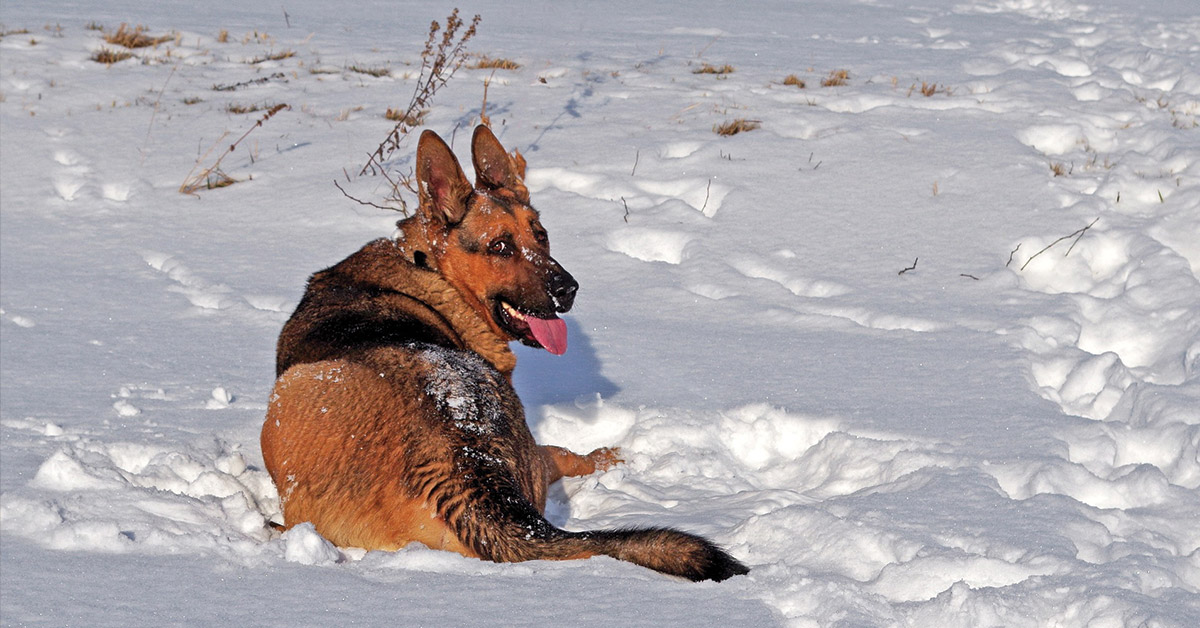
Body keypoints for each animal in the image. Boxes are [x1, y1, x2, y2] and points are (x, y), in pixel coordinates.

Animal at [264, 125, 748, 583]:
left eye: (542, 235)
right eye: (500, 246)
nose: (568, 290)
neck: (431, 270)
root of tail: (465, 468)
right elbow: (560, 451)